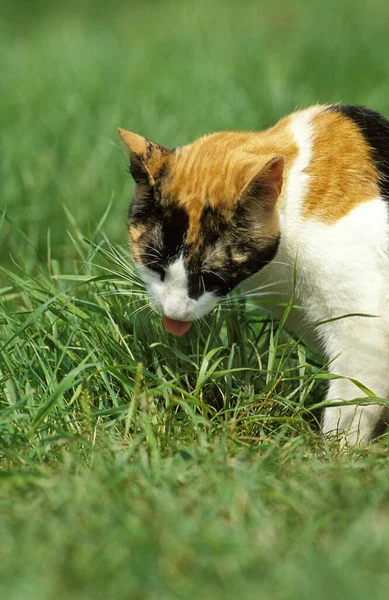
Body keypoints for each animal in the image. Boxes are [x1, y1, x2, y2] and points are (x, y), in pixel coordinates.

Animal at [117, 104, 388, 446]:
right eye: (154, 263)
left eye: (212, 276)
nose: (173, 313)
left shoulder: (363, 328)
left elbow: (352, 399)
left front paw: (335, 451)